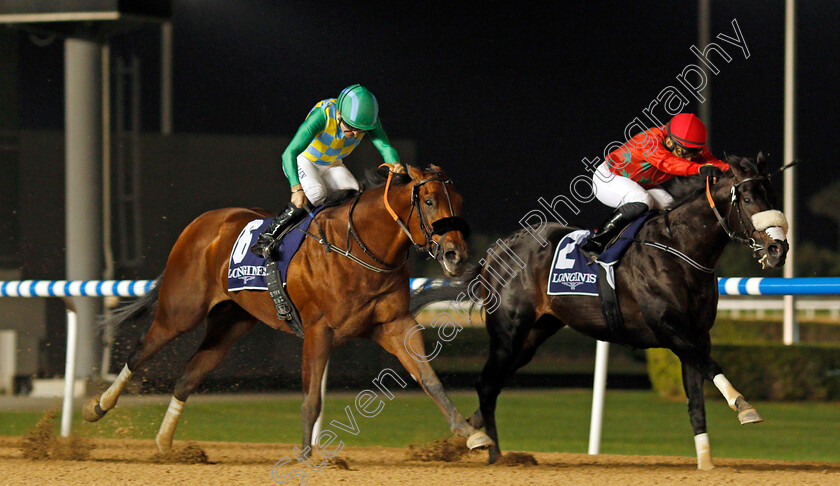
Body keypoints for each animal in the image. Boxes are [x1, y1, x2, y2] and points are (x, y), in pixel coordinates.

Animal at [82, 163, 492, 452]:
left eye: (459, 202)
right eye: (429, 201)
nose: (456, 255)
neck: (359, 249)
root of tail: (202, 223)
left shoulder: (395, 324)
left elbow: (429, 379)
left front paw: (471, 434)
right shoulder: (317, 330)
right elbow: (311, 400)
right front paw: (306, 456)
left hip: (231, 321)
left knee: (189, 375)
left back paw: (166, 442)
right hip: (181, 310)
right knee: (140, 352)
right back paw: (97, 406)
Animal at [410, 154, 792, 468]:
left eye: (773, 197)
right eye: (747, 198)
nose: (779, 248)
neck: (679, 248)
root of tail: (495, 254)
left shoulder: (697, 335)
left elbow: (697, 398)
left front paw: (706, 463)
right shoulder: (670, 331)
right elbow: (713, 367)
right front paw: (745, 407)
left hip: (534, 335)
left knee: (494, 384)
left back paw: (473, 437)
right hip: (509, 331)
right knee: (487, 383)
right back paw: (495, 454)